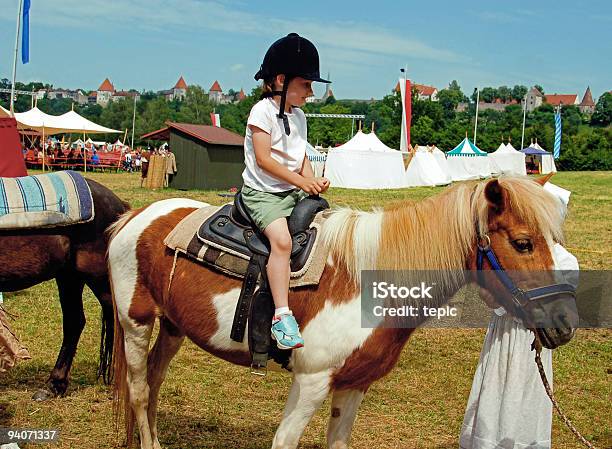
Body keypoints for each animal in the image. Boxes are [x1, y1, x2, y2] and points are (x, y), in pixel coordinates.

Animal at [109, 177, 572, 448]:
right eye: (524, 243)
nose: (564, 324)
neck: (367, 288)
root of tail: (137, 214)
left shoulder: (354, 385)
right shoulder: (311, 381)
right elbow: (284, 441)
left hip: (173, 326)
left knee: (154, 382)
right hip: (135, 323)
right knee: (139, 389)